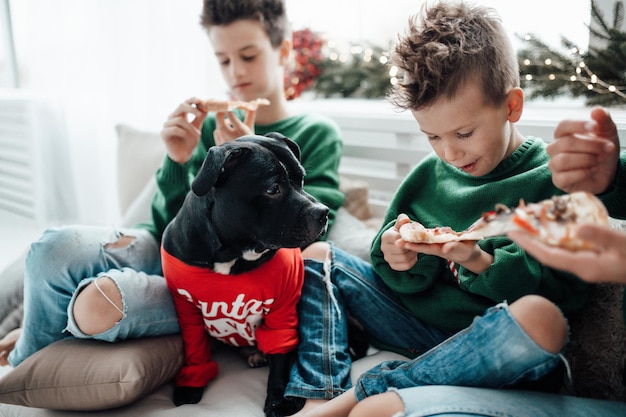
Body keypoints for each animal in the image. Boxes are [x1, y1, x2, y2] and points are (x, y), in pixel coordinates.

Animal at [160, 133, 326, 416]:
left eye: (302, 180)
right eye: (272, 189)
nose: (323, 212)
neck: (234, 255)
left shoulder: (283, 312)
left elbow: (281, 359)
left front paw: (278, 400)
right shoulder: (187, 310)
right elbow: (195, 348)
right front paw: (191, 384)